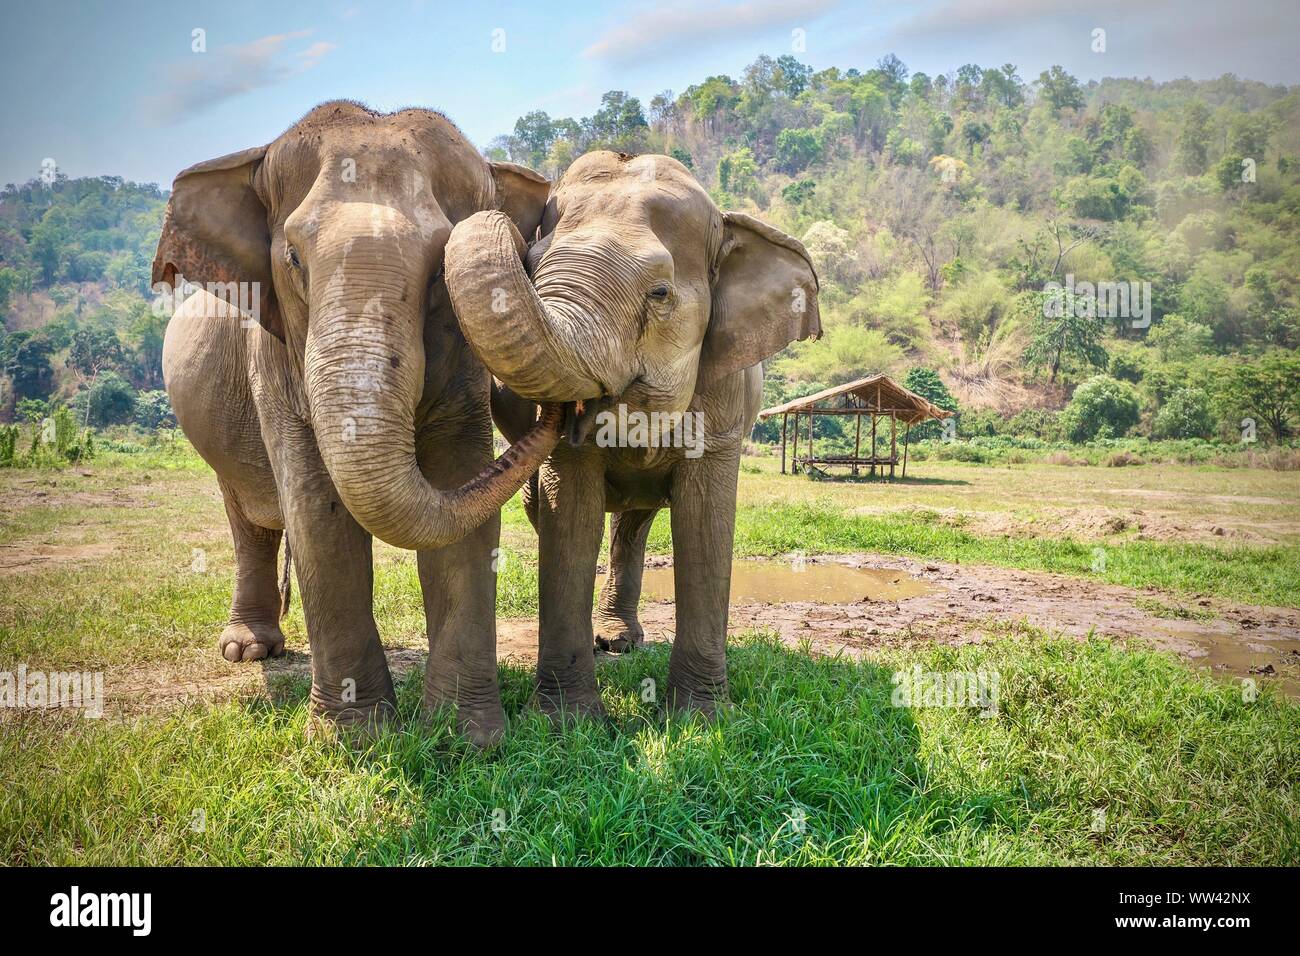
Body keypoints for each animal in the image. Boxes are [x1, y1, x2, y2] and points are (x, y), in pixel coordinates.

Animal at [154, 104, 561, 749]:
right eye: (294, 259)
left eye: (440, 268)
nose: (558, 411)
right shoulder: (276, 357)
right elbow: (318, 514)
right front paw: (353, 741)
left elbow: (462, 489)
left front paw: (466, 739)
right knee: (249, 520)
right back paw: (248, 652)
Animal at [441, 151, 816, 717]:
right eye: (531, 266)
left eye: (659, 293)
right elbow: (570, 517)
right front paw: (567, 722)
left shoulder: (725, 402)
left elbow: (705, 524)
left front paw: (701, 717)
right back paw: (611, 642)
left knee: (634, 524)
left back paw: (621, 640)